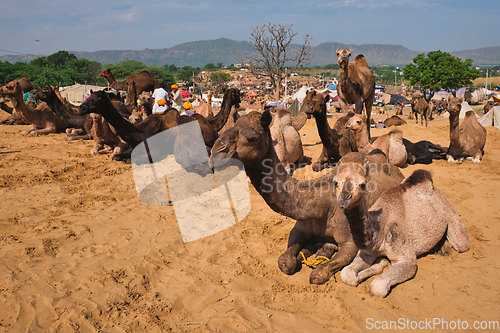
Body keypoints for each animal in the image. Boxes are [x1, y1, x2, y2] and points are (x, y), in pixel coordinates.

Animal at [209, 110, 404, 284]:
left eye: (253, 138)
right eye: (228, 128)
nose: (215, 153)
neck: (321, 203)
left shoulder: (349, 242)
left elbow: (317, 275)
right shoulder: (299, 229)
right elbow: (285, 262)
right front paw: (306, 251)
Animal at [334, 166, 470, 296]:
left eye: (362, 184)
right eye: (335, 182)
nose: (344, 198)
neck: (379, 233)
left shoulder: (407, 259)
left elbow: (378, 286)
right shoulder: (367, 253)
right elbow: (347, 273)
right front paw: (379, 264)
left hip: (451, 214)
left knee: (461, 244)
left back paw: (444, 249)